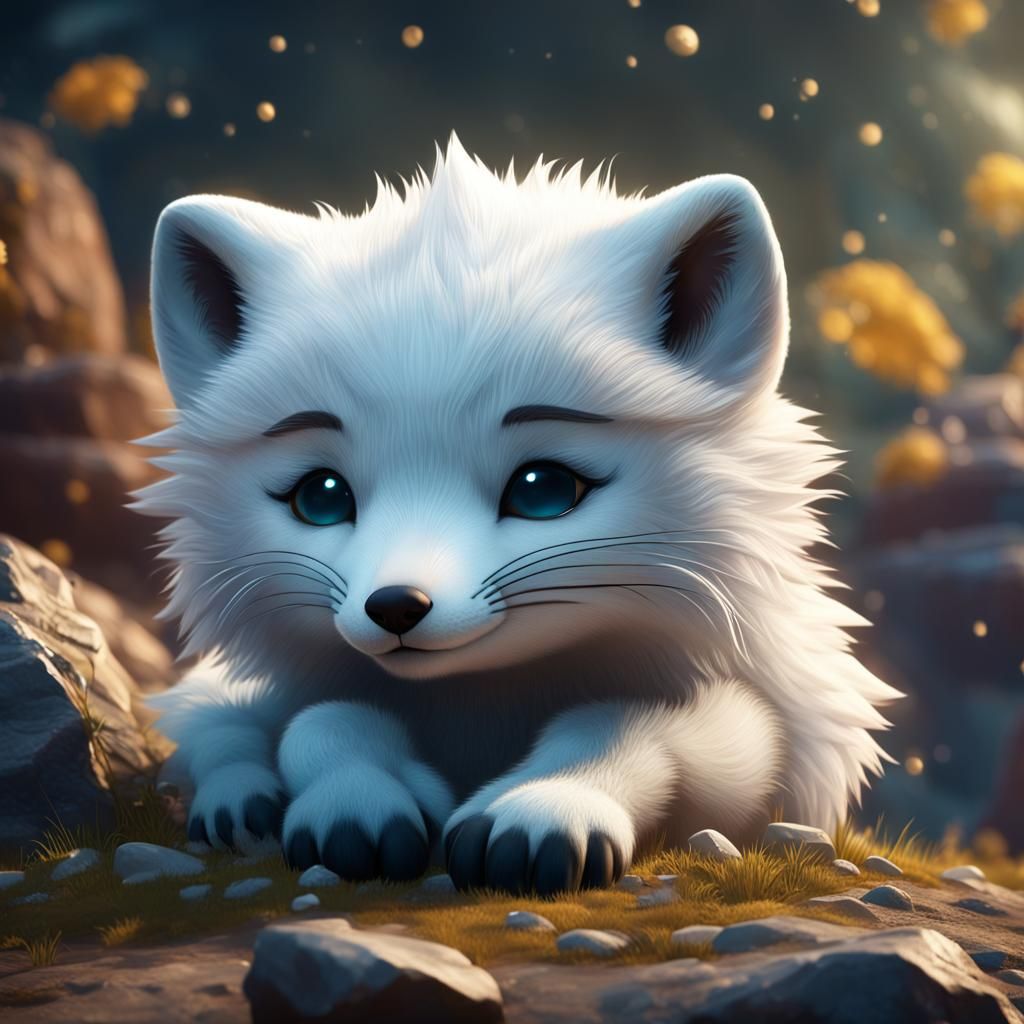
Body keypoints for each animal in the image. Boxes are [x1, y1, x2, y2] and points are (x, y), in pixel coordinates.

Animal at [136, 135, 900, 894]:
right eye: (320, 497)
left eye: (542, 489)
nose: (396, 605)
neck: (483, 707)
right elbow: (311, 721)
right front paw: (352, 804)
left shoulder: (762, 736)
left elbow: (630, 726)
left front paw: (543, 810)